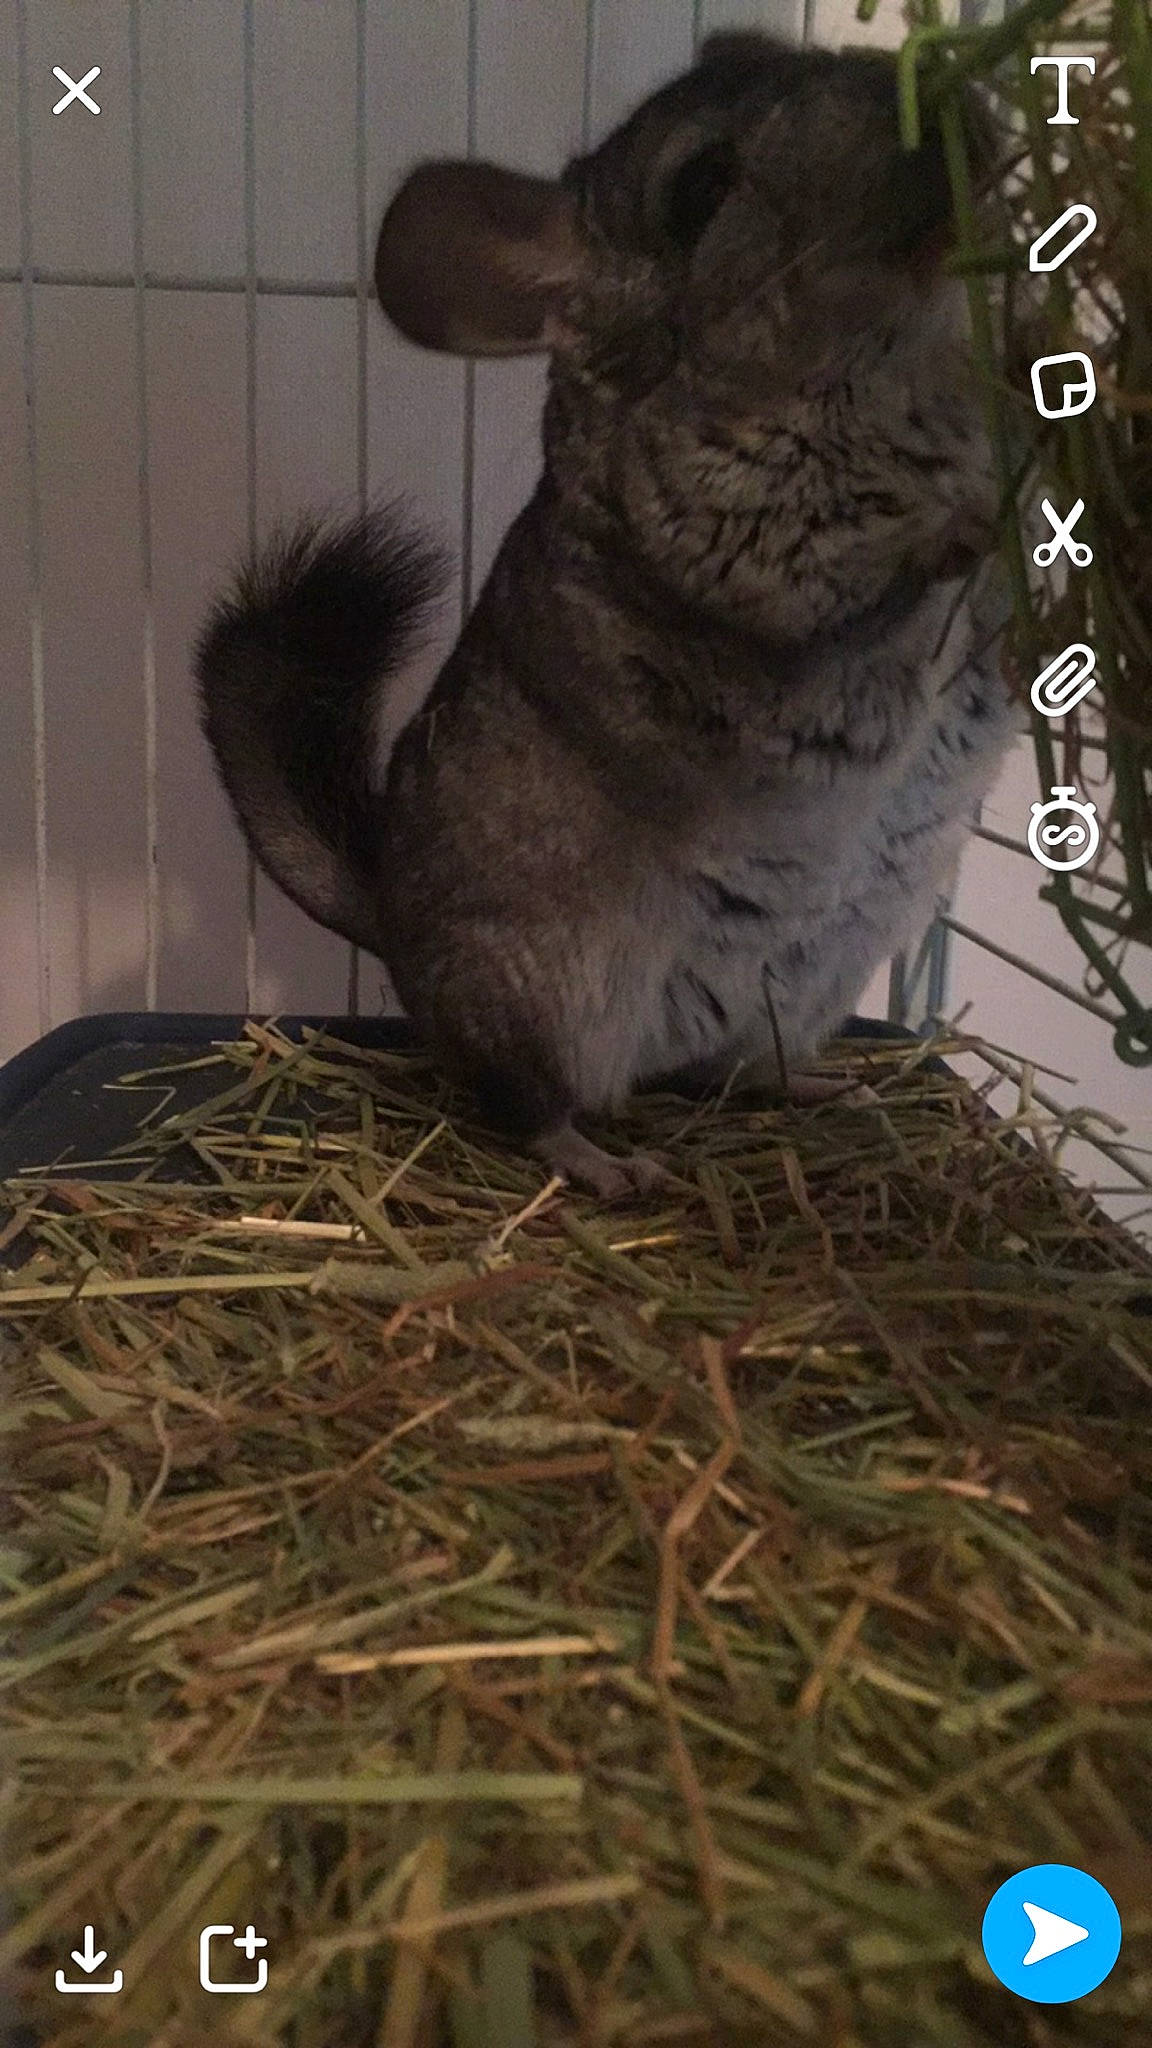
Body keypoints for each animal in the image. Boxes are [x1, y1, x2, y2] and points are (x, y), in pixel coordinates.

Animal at [196, 31, 1017, 1200]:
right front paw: (973, 517)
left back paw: (822, 1087)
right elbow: (885, 557)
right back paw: (610, 1167)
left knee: (728, 1073)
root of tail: (391, 919)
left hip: (798, 991)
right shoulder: (741, 546)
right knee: (524, 1102)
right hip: (539, 996)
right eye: (702, 187)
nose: (955, 106)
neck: (897, 367)